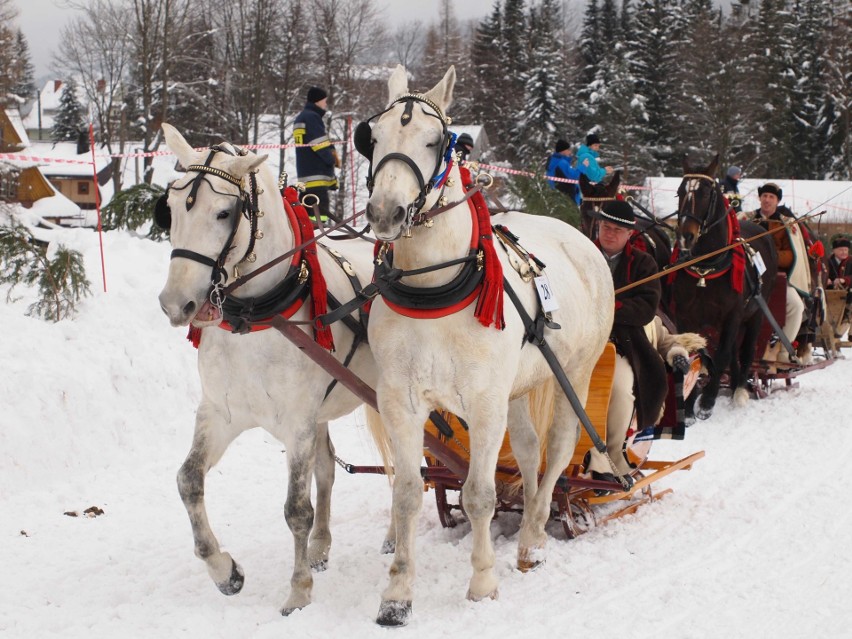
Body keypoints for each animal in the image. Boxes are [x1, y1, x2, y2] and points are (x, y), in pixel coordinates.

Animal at [156, 124, 380, 616]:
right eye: (172, 207)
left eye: (224, 212)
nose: (175, 304)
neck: (255, 318)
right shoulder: (221, 413)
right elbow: (188, 480)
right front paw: (224, 570)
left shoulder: (296, 424)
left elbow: (296, 509)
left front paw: (297, 591)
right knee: (328, 470)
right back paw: (320, 547)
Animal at [362, 66, 616, 624]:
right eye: (372, 137)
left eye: (435, 141)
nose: (386, 212)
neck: (433, 289)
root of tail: (578, 237)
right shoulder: (401, 403)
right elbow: (406, 493)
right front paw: (397, 594)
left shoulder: (482, 404)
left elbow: (479, 494)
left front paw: (481, 582)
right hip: (517, 389)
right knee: (527, 449)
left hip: (575, 374)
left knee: (558, 449)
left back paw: (533, 538)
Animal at [672, 156, 780, 420]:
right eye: (680, 191)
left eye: (706, 193)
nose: (685, 236)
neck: (706, 268)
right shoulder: (686, 317)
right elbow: (696, 355)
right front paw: (688, 406)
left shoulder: (733, 314)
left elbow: (721, 356)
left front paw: (706, 402)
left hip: (755, 313)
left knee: (745, 350)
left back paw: (740, 389)